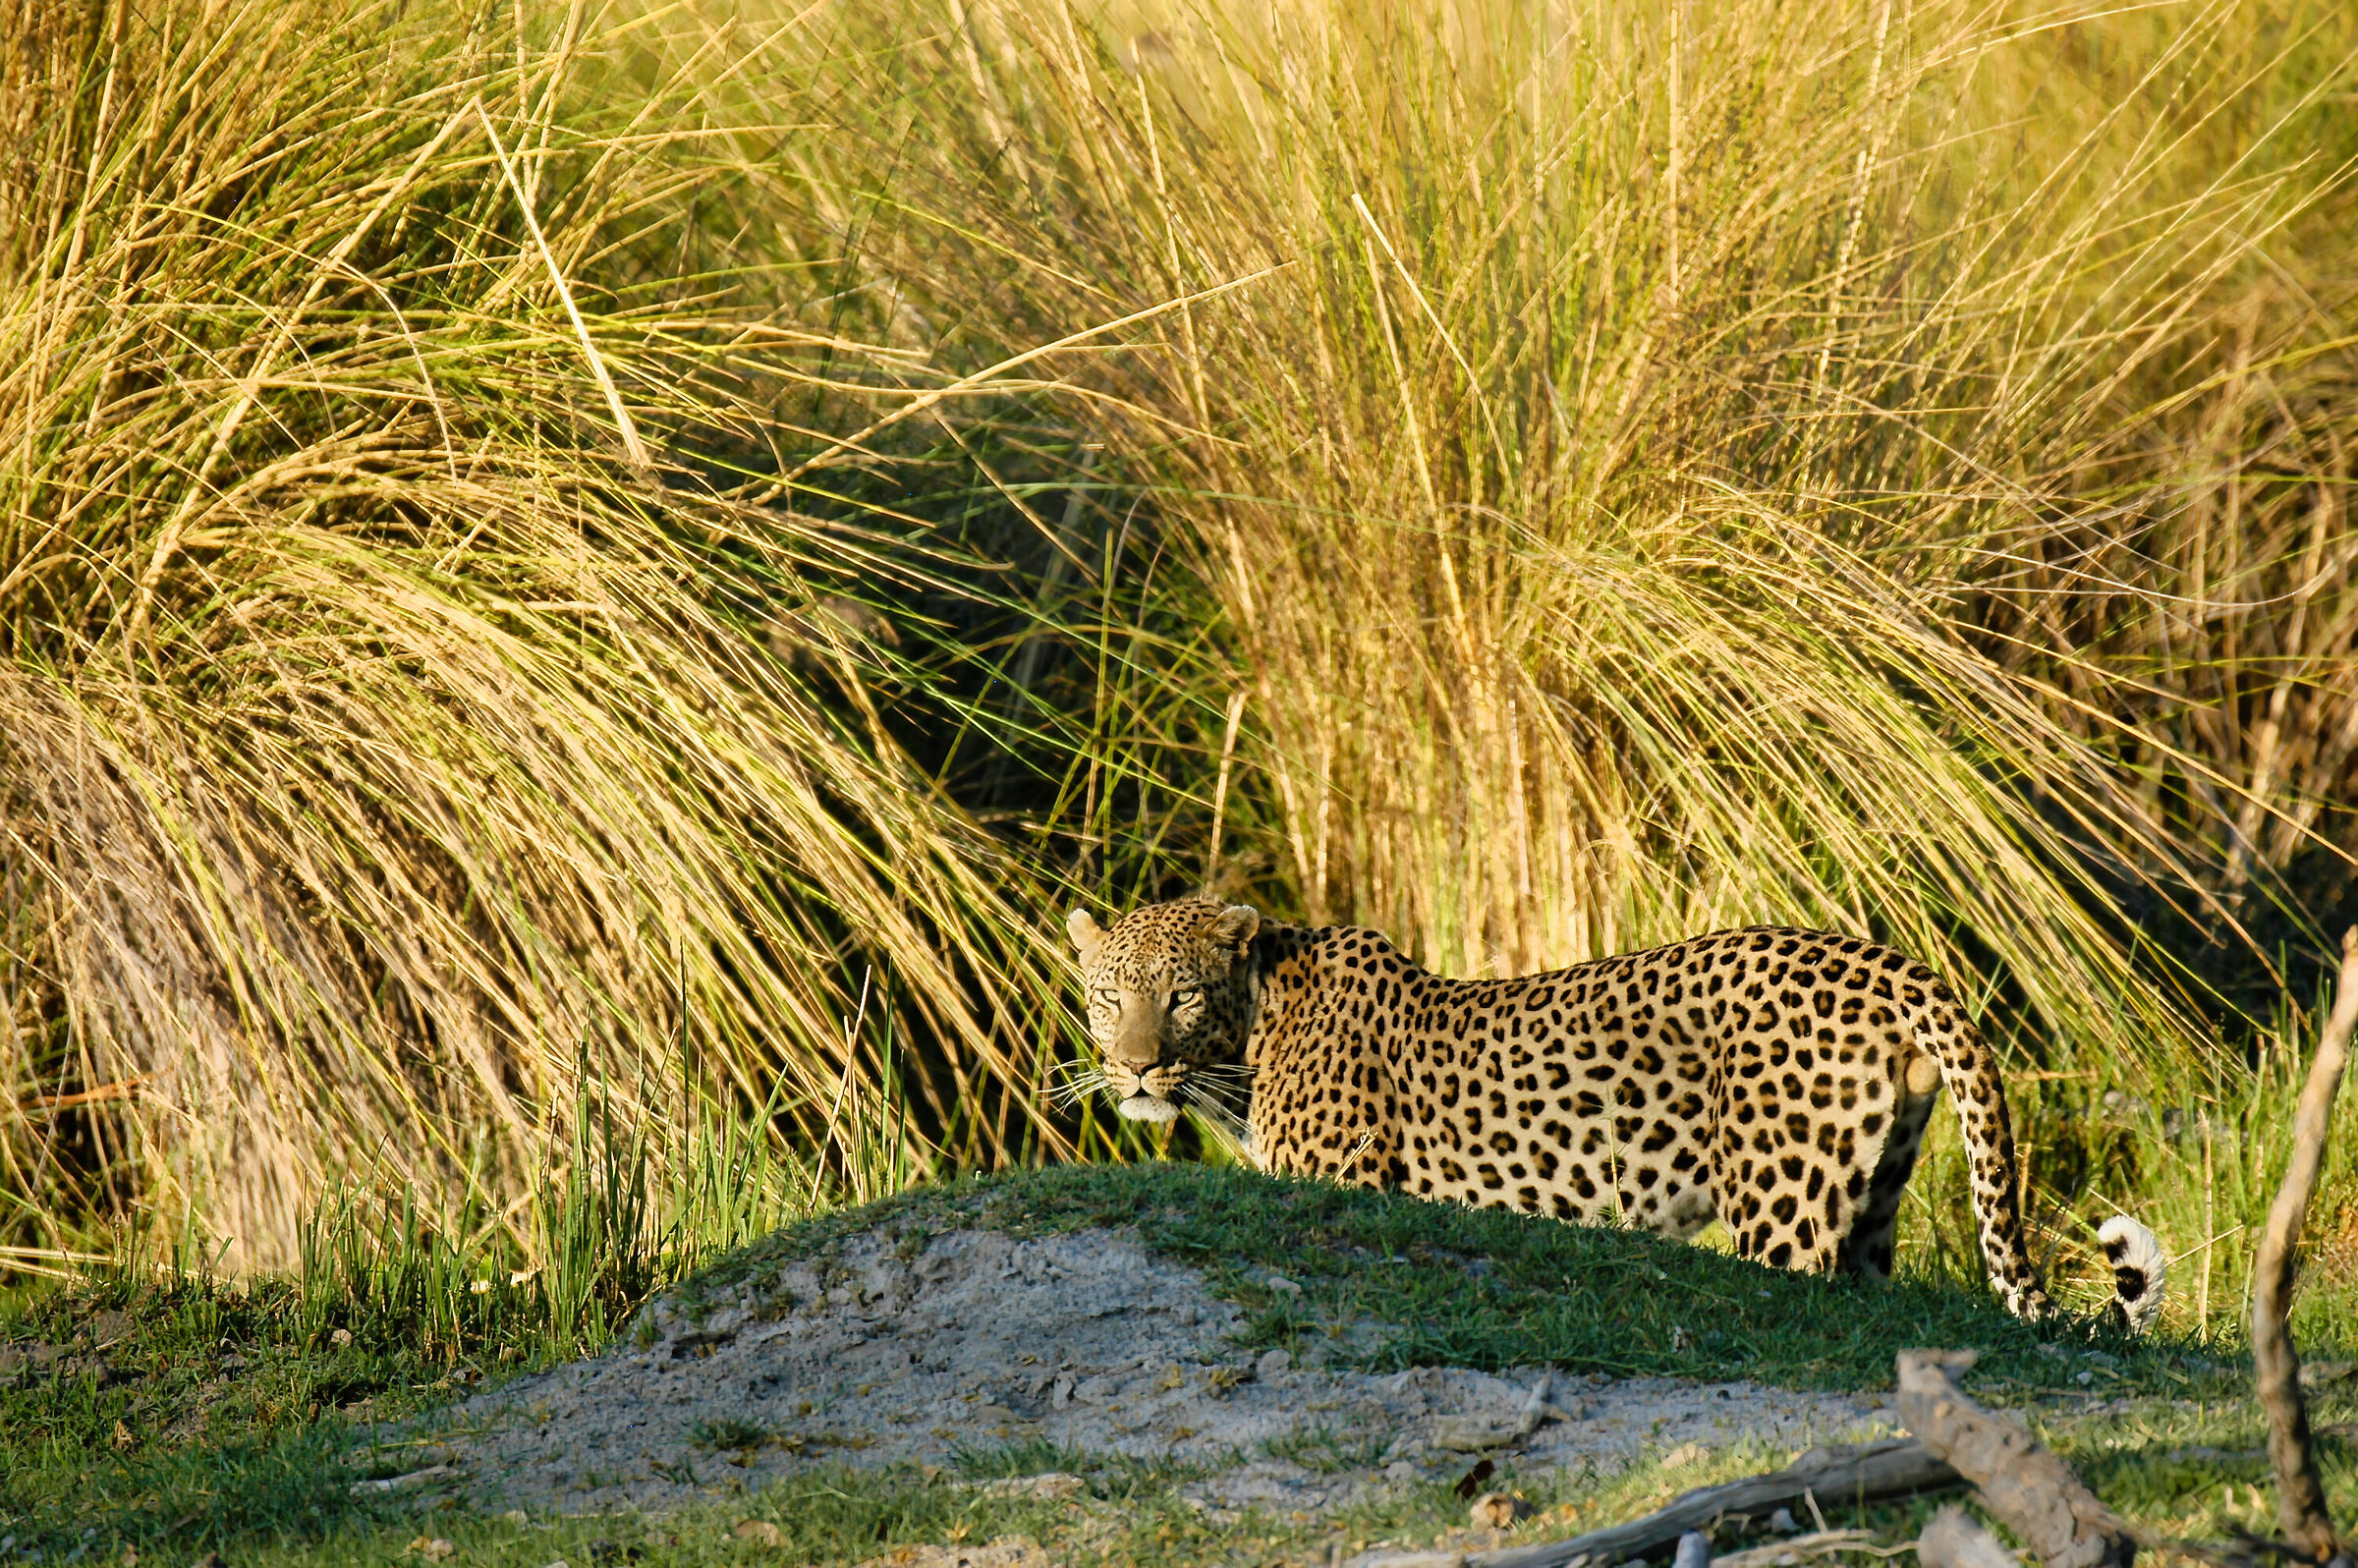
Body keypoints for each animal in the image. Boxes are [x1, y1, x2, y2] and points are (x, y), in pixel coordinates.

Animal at [1066, 897, 2166, 1331]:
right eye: (1109, 996)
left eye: (1180, 996)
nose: (1134, 1069)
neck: (1248, 1039)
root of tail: (1890, 960)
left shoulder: (1346, 1184)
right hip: (1875, 1195)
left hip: (1781, 1205)